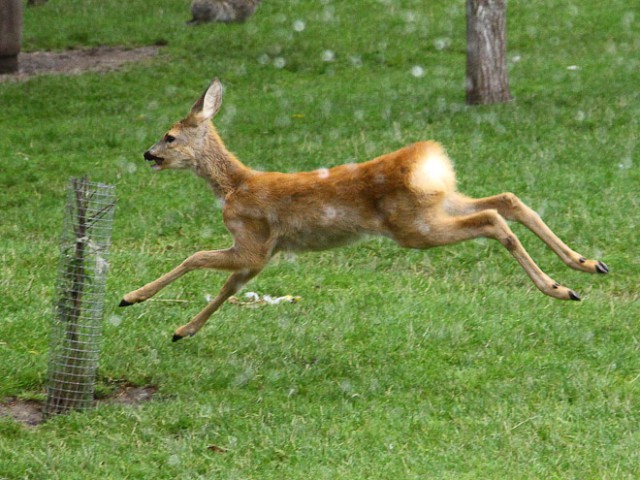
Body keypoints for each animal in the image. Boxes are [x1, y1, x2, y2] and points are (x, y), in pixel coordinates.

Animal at [117, 79, 608, 342]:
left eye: (170, 136)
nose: (146, 154)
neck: (234, 188)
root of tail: (424, 161)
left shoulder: (253, 239)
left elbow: (195, 257)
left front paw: (132, 297)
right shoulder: (264, 256)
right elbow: (229, 288)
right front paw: (183, 331)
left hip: (413, 227)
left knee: (491, 220)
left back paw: (559, 287)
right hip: (438, 202)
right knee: (507, 200)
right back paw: (587, 265)